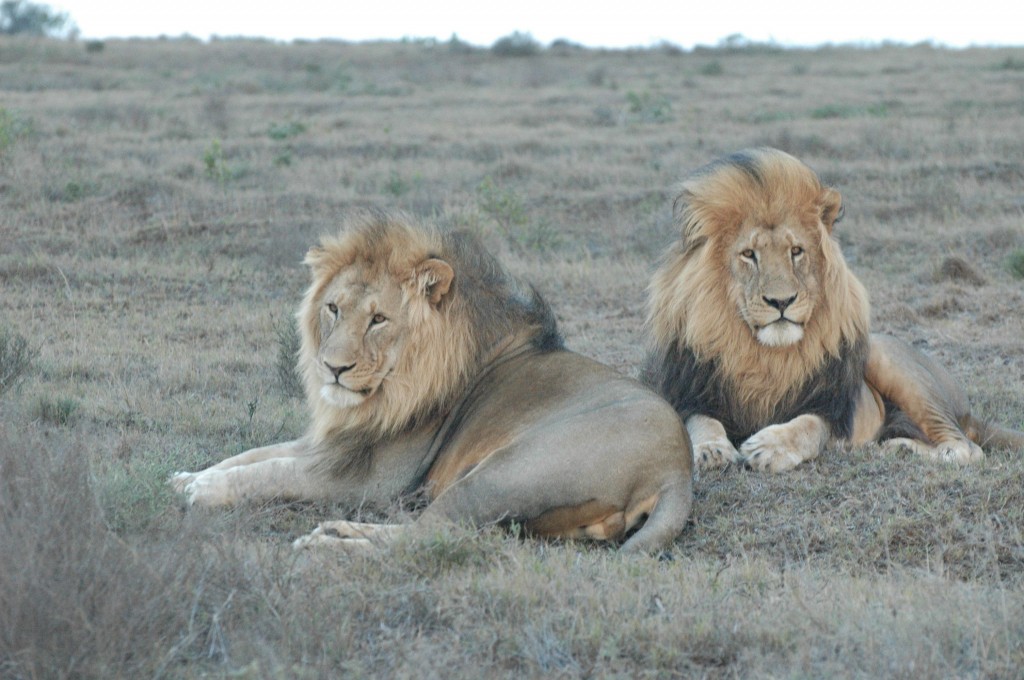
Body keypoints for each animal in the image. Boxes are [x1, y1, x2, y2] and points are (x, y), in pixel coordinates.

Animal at [171, 211, 692, 553]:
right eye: (333, 308)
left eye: (378, 319)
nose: (333, 368)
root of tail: (678, 469)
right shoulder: (337, 442)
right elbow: (254, 454)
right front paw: (190, 477)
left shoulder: (370, 478)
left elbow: (272, 471)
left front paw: (204, 491)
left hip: (500, 474)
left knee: (427, 538)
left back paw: (330, 546)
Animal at [642, 147, 1024, 473]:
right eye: (749, 255)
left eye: (796, 251)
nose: (781, 301)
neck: (763, 358)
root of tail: (967, 410)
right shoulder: (689, 391)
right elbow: (700, 420)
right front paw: (711, 449)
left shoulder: (830, 408)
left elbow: (807, 427)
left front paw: (769, 447)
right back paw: (899, 446)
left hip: (889, 361)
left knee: (966, 447)